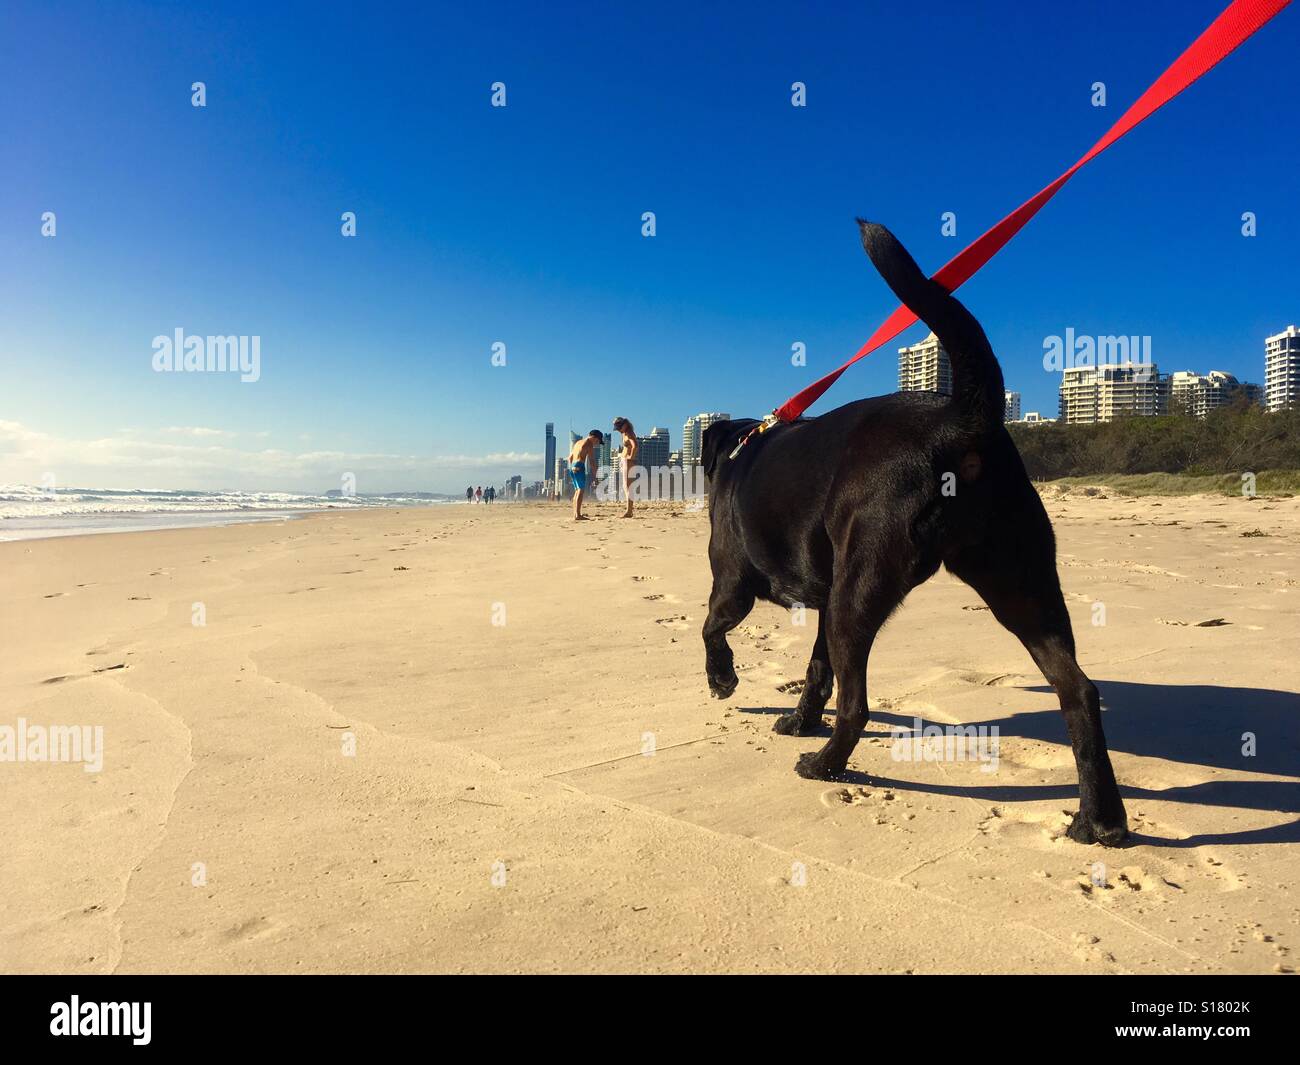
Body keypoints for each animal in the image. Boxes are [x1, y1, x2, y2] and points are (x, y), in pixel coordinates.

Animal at [702, 218, 1128, 847]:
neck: (740, 448)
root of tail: (960, 421)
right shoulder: (825, 599)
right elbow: (815, 669)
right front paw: (799, 719)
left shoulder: (733, 583)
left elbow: (712, 628)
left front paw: (723, 680)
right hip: (1020, 589)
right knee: (1080, 690)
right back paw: (1101, 816)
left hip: (861, 595)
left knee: (857, 705)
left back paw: (825, 765)